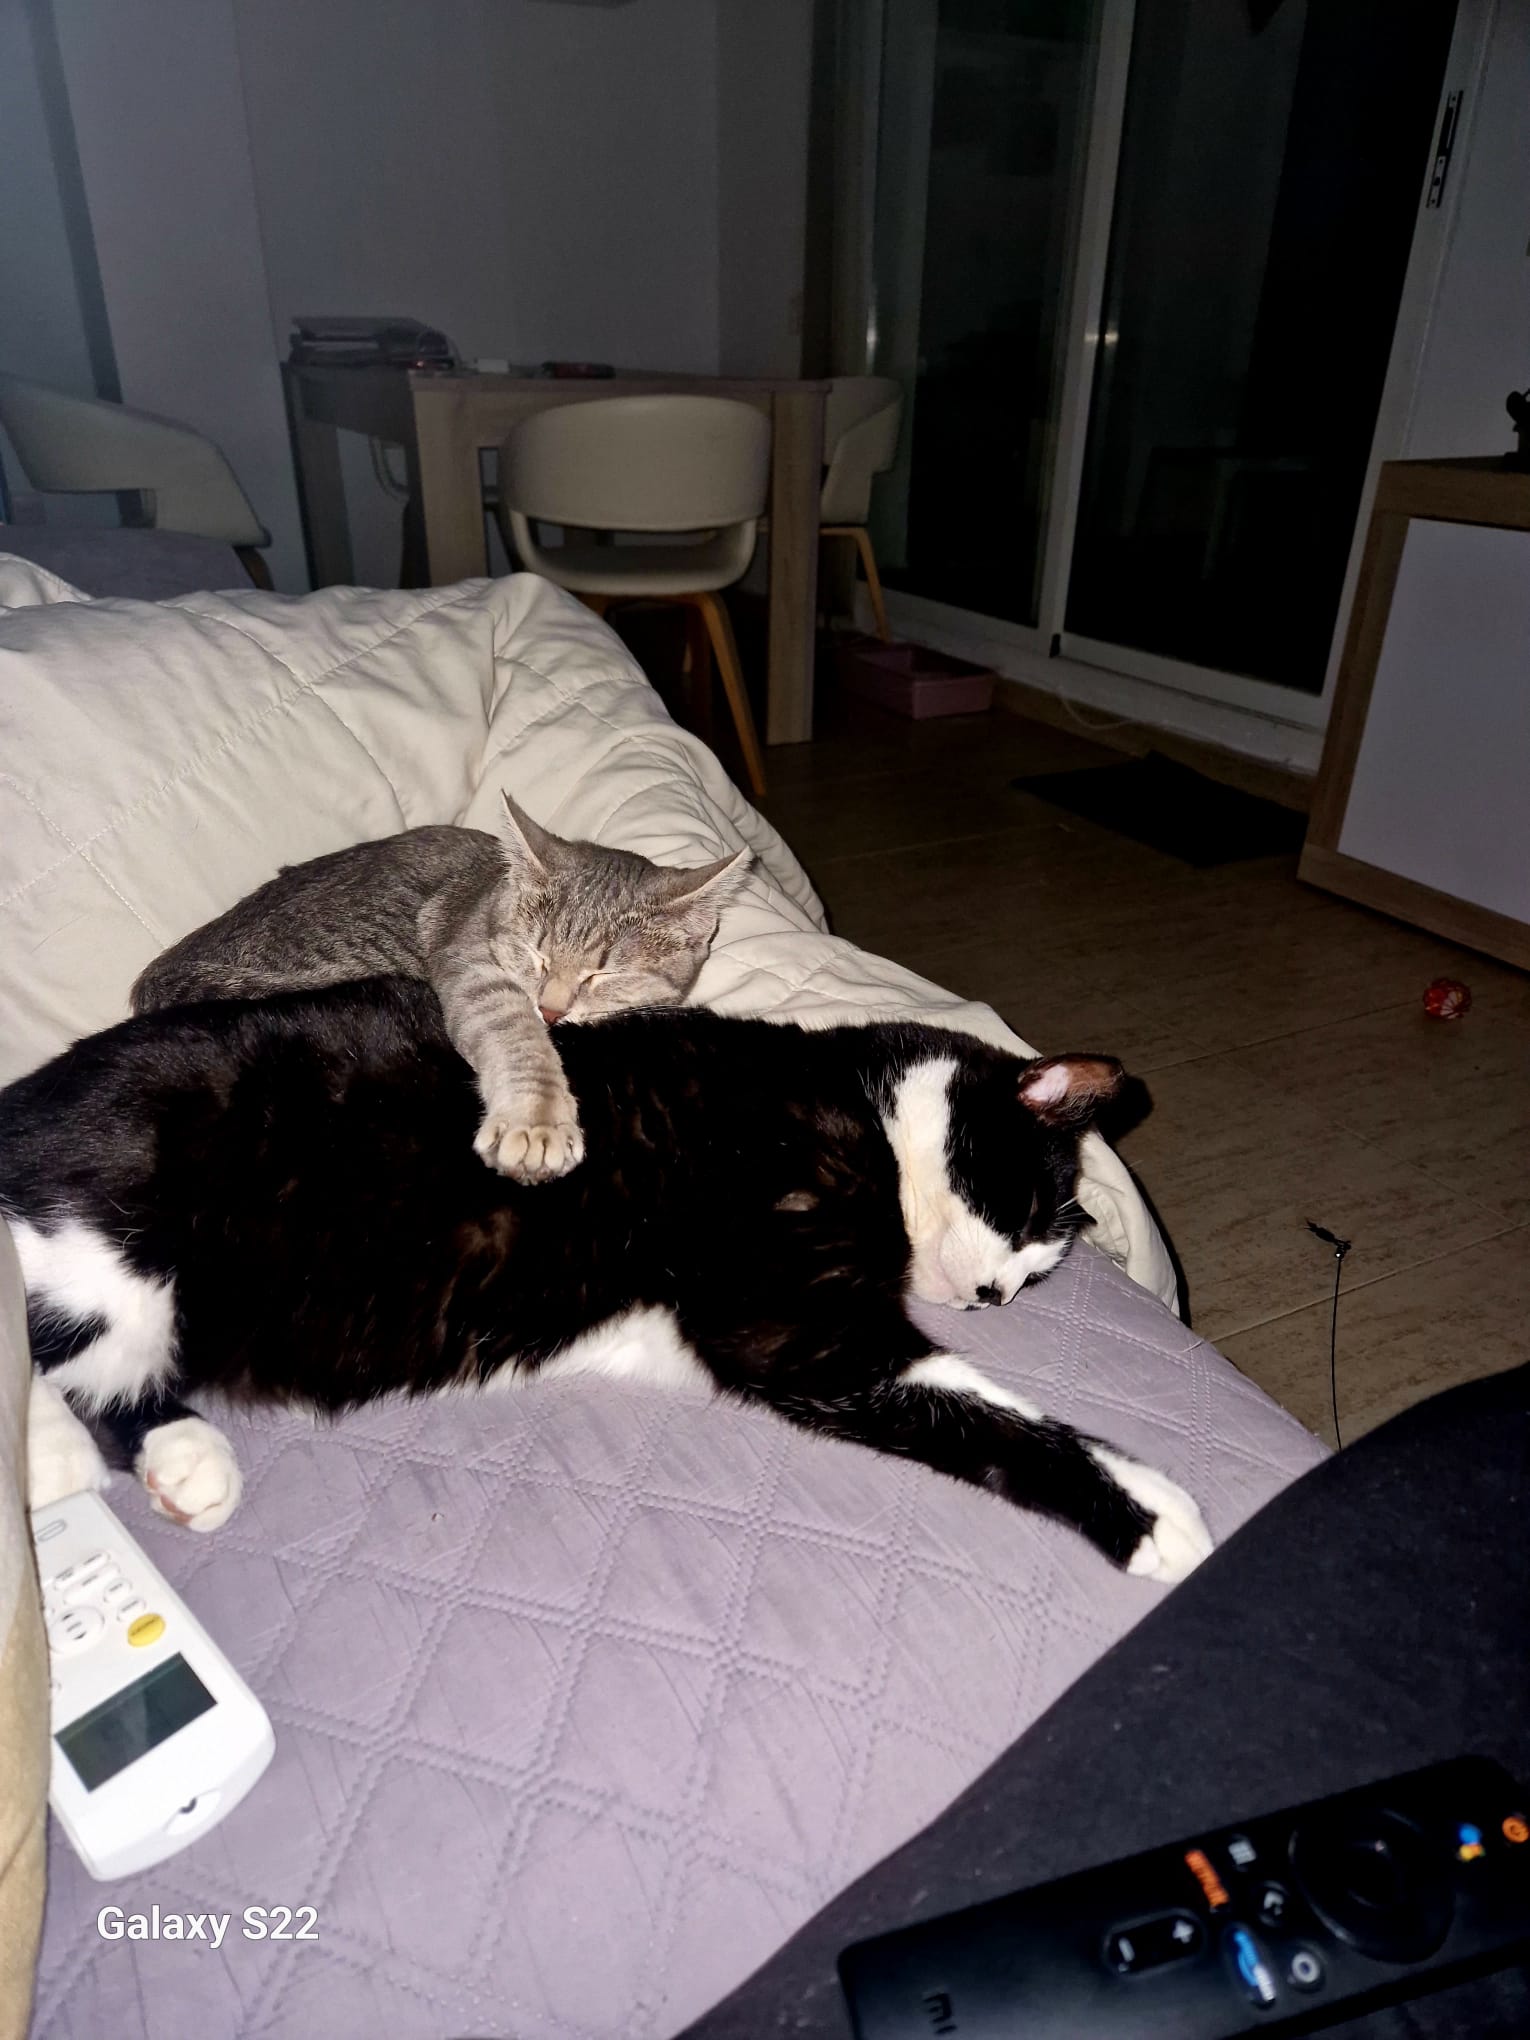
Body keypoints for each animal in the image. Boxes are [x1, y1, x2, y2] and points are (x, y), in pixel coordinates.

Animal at [2, 978, 1212, 1582]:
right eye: (1030, 1220)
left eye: (1045, 1272)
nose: (1002, 1295)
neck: (854, 1102)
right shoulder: (793, 1316)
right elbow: (996, 1416)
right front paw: (1156, 1512)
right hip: (106, 1253)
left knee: (112, 1386)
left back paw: (166, 1464)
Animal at [131, 794, 749, 1183]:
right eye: (536, 954)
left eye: (603, 974)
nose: (551, 1011)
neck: (494, 896)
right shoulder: (472, 967)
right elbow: (515, 1036)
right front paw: (537, 1120)